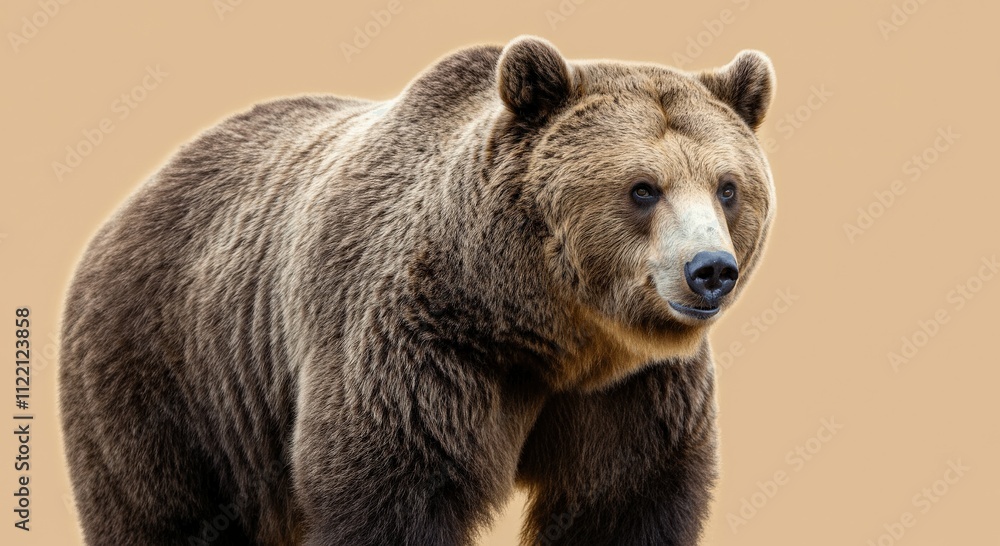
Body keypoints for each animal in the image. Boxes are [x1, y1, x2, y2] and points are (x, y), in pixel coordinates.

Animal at [59, 36, 775, 545]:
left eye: (728, 187)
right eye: (643, 189)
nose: (710, 268)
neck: (548, 329)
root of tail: (130, 203)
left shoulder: (630, 390)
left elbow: (623, 500)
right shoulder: (421, 349)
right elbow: (389, 485)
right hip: (173, 374)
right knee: (162, 510)